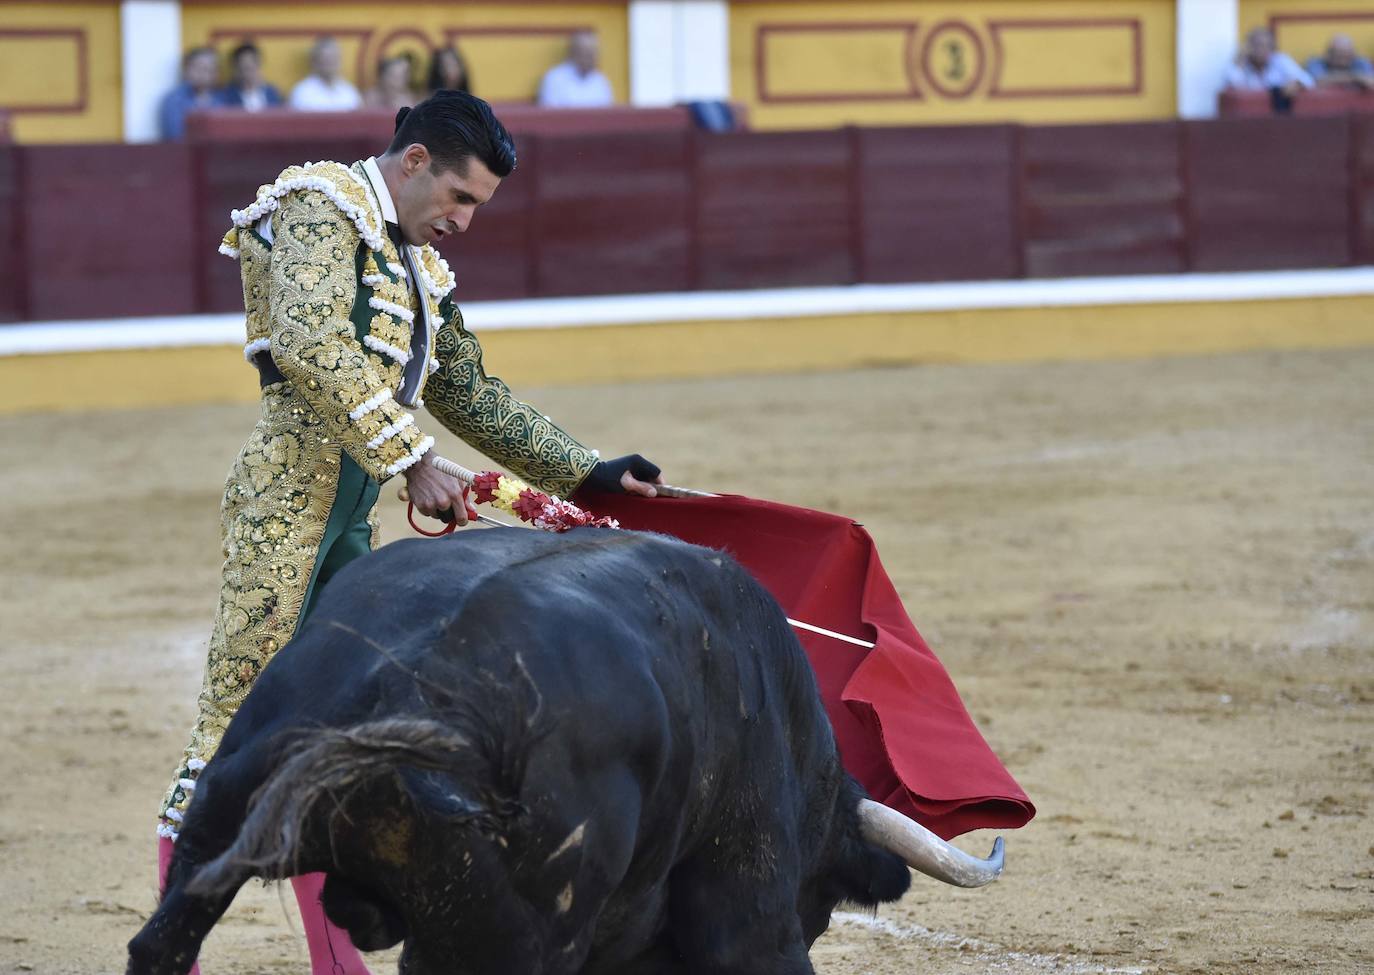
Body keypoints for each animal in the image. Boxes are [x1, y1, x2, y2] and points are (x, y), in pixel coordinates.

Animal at [129, 530, 1005, 975]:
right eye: (819, 890)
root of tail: (400, 691)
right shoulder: (750, 910)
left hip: (217, 812)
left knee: (160, 942)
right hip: (515, 940)